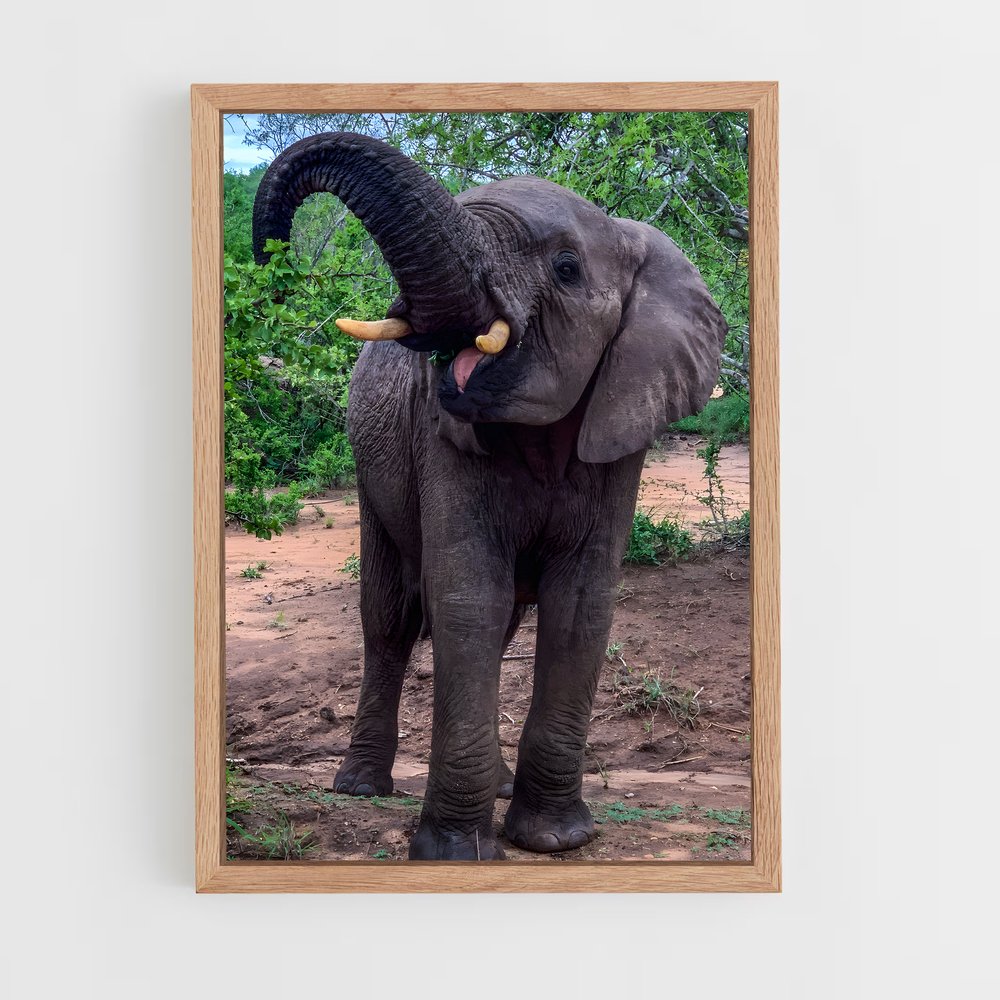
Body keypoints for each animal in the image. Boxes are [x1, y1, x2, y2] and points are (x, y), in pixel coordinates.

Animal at [252, 132, 727, 860]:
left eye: (566, 268)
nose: (272, 258)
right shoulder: (442, 438)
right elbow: (468, 595)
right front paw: (453, 853)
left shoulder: (622, 428)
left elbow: (579, 604)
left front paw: (556, 840)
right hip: (369, 468)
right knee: (390, 618)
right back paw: (359, 787)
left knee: (498, 628)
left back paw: (496, 788)